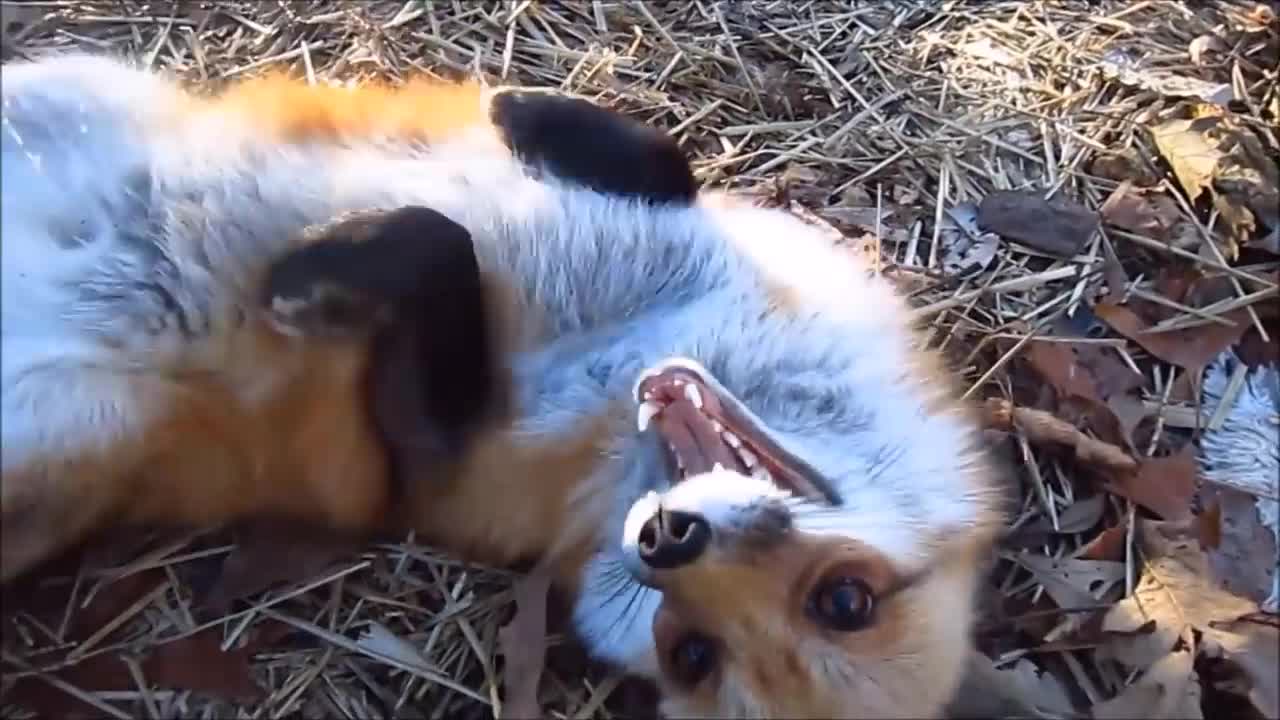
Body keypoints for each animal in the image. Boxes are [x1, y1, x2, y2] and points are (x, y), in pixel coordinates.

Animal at [0, 53, 1007, 718]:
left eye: (692, 654)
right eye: (848, 601)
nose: (668, 538)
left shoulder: (422, 467)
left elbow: (439, 245)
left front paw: (314, 272)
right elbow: (663, 159)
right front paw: (527, 107)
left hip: (83, 417)